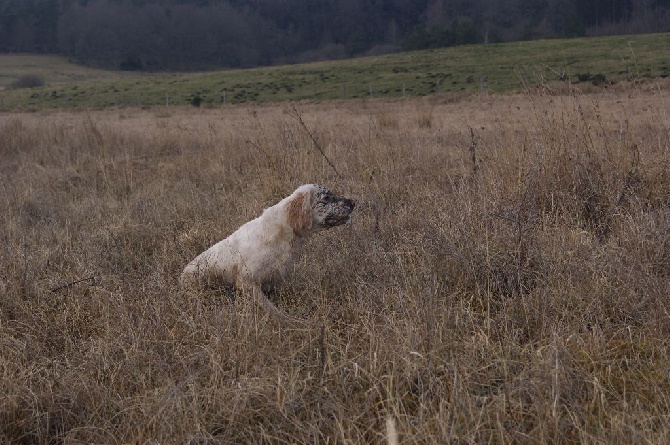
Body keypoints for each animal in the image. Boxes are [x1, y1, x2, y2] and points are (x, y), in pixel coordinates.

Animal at [178, 184, 356, 320]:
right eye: (326, 198)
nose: (353, 202)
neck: (284, 232)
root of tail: (181, 277)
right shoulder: (248, 282)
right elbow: (271, 309)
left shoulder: (274, 280)